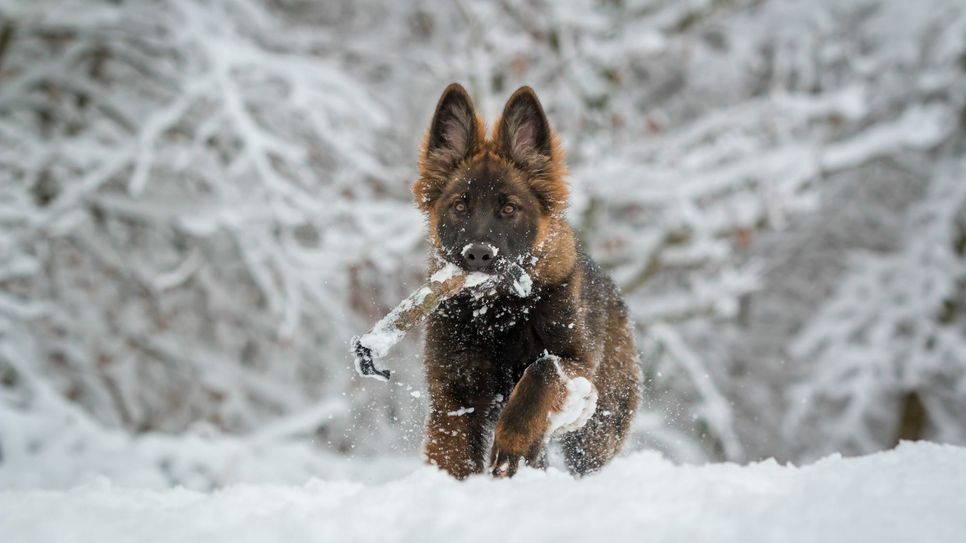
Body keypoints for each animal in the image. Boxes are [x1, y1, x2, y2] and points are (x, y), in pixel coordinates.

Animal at [412, 83, 640, 478]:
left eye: (508, 208)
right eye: (460, 206)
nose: (478, 255)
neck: (498, 314)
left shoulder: (577, 364)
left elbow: (541, 372)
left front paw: (510, 442)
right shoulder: (454, 394)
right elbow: (450, 455)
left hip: (597, 427)